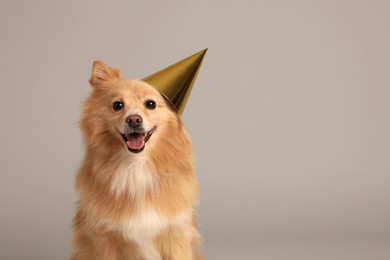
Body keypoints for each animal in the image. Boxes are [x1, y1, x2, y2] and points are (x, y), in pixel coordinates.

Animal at [71, 60, 203, 258]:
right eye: (117, 105)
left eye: (151, 104)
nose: (134, 119)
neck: (135, 165)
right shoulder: (104, 239)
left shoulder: (176, 235)